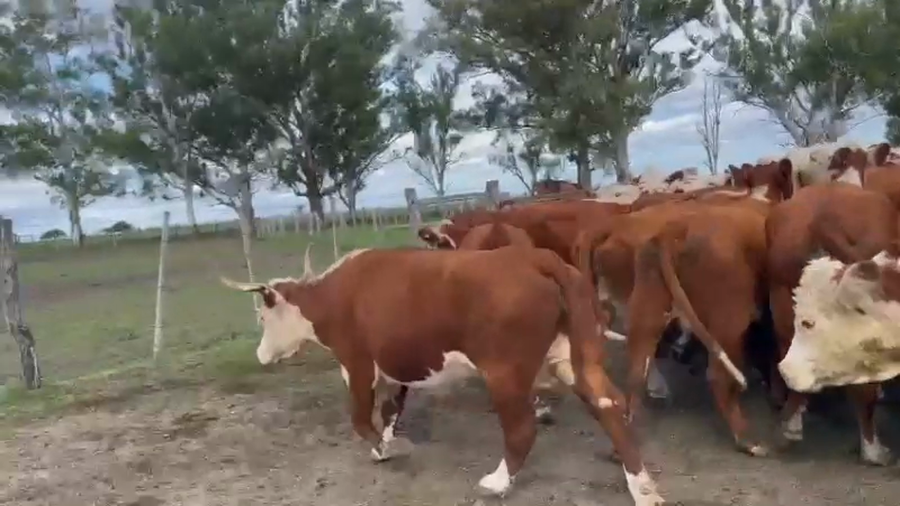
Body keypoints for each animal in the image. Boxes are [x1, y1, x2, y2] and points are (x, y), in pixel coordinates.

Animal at [220, 245, 665, 506]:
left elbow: (362, 418)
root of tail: (537, 258)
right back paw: (643, 488)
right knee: (609, 405)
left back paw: (498, 482)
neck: (332, 295)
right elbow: (391, 410)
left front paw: (388, 450)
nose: (260, 355)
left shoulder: (357, 363)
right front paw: (387, 442)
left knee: (521, 428)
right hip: (572, 358)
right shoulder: (396, 366)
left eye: (263, 317)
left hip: (505, 372)